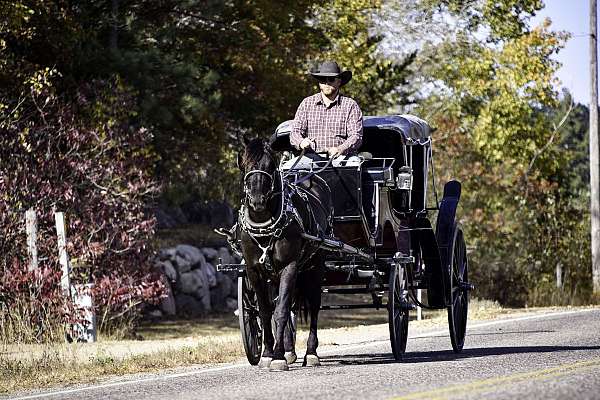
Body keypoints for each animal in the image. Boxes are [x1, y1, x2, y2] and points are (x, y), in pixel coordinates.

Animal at [238, 138, 332, 372]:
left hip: (315, 266)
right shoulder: (253, 271)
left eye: (271, 165)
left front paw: (278, 357)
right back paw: (290, 351)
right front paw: (268, 354)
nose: (257, 200)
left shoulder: (289, 267)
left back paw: (311, 353)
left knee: (314, 305)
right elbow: (265, 311)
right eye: (244, 163)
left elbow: (280, 311)